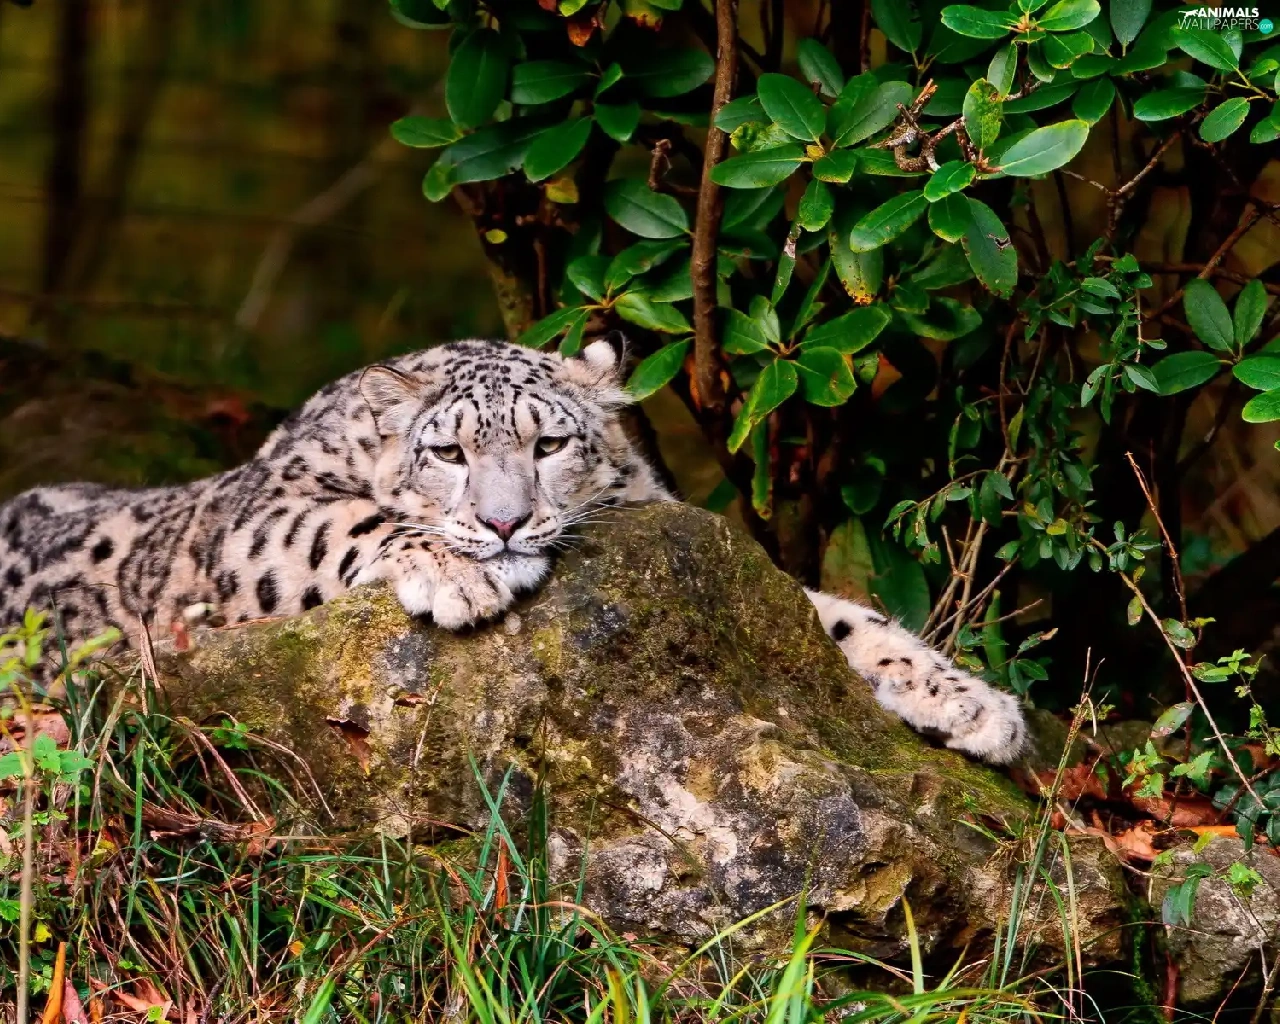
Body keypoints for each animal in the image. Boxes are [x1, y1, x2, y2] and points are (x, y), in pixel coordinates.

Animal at [0, 337, 1026, 763]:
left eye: (550, 443)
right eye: (450, 452)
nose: (500, 523)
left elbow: (832, 619)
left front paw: (974, 705)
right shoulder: (259, 515)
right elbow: (344, 524)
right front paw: (460, 575)